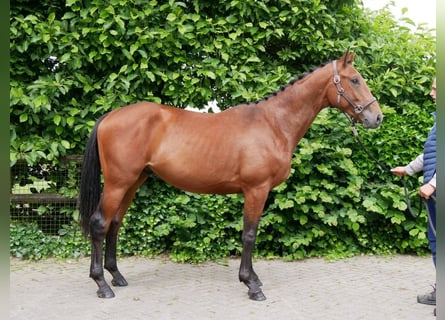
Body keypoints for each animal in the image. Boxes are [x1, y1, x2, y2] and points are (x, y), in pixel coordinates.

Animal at [78, 52, 380, 300]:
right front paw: (251, 285)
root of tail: (109, 117)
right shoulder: (256, 189)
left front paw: (253, 278)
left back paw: (117, 277)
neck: (273, 124)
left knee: (115, 223)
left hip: (133, 182)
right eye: (355, 80)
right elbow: (249, 234)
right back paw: (101, 284)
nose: (377, 118)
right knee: (100, 223)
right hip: (118, 183)